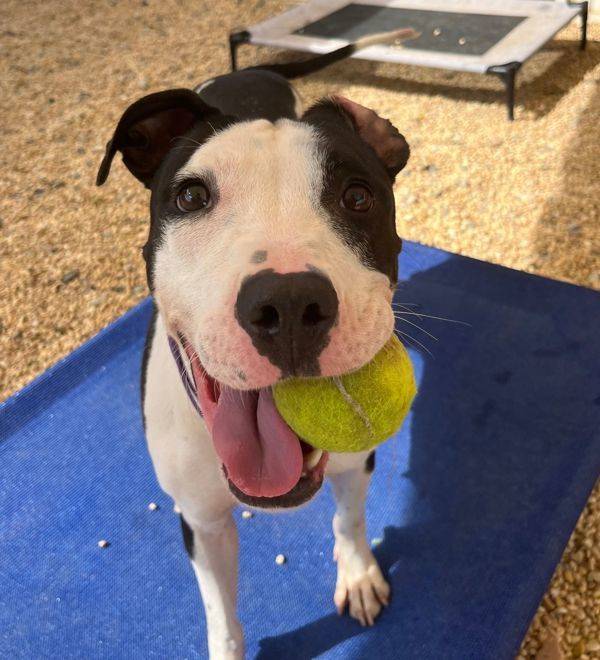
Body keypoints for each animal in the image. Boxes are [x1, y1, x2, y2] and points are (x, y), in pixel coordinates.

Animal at [98, 28, 414, 656]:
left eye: (358, 197)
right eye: (191, 198)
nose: (289, 305)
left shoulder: (355, 464)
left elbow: (349, 519)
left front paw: (359, 573)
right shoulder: (202, 520)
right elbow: (221, 612)